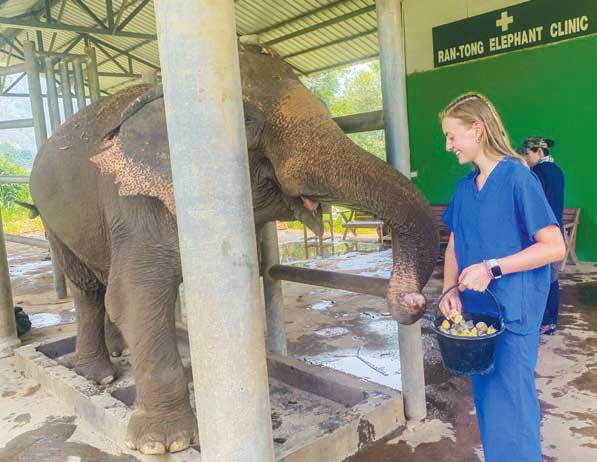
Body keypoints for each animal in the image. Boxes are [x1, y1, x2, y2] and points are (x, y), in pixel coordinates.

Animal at [28, 43, 438, 454]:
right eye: (246, 121)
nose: (413, 303)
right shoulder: (136, 201)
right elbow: (136, 296)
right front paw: (164, 444)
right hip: (52, 219)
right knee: (88, 288)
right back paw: (98, 376)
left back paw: (119, 351)